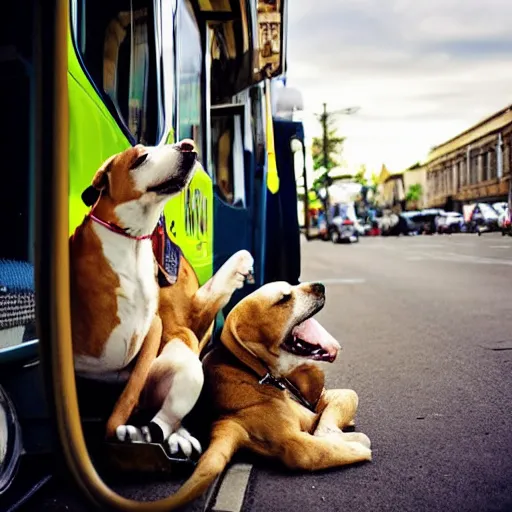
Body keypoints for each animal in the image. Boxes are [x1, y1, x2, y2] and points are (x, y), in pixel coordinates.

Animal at [70, 142, 254, 458]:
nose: (188, 145)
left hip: (179, 368)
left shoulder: (158, 327)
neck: (132, 241)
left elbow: (129, 394)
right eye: (141, 157)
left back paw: (160, 433)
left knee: (168, 406)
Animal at [156, 282, 372, 510]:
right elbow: (334, 438)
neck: (257, 370)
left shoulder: (323, 401)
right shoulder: (299, 438)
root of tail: (223, 420)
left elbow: (343, 402)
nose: (319, 286)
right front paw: (350, 442)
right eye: (284, 298)